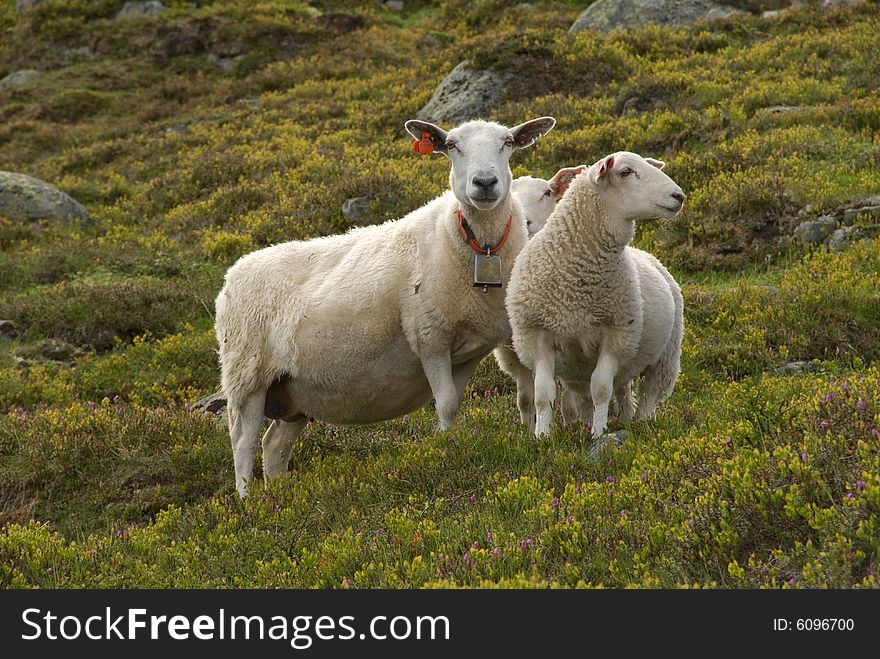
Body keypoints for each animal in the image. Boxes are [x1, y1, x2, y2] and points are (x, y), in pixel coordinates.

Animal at [214, 114, 552, 496]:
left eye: (507, 143)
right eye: (451, 145)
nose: (484, 183)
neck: (478, 244)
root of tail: (232, 275)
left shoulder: (468, 350)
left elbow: (467, 400)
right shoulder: (429, 337)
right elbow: (447, 405)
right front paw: (449, 451)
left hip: (293, 390)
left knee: (273, 444)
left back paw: (280, 495)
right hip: (246, 375)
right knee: (243, 443)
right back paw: (248, 500)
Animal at [502, 150, 688, 438]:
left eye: (546, 193)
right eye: (625, 172)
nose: (678, 196)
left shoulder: (617, 334)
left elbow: (601, 388)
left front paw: (598, 434)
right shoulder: (536, 335)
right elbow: (543, 394)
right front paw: (541, 436)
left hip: (666, 354)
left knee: (650, 392)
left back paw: (641, 423)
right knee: (619, 390)